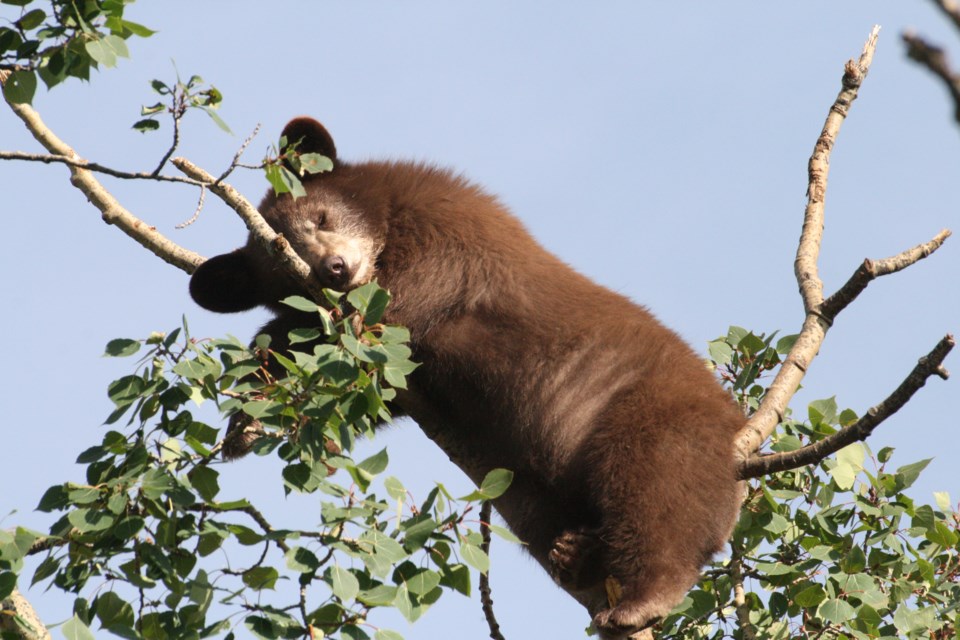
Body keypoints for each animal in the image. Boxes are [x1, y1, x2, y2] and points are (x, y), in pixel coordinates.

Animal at [188, 117, 744, 636]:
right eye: (284, 262)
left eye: (321, 217)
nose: (335, 268)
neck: (388, 220)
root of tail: (737, 428)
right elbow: (353, 375)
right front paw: (248, 423)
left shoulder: (447, 239)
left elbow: (389, 316)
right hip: (531, 485)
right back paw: (576, 552)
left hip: (651, 416)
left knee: (659, 496)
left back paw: (640, 599)